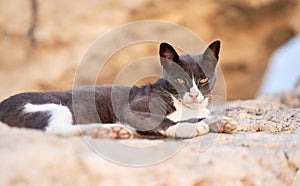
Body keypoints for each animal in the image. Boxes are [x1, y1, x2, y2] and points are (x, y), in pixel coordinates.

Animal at [0, 41, 234, 140]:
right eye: (179, 80)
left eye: (203, 79)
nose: (194, 94)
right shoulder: (132, 109)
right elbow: (160, 120)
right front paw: (187, 127)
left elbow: (203, 116)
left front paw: (219, 122)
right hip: (49, 107)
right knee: (53, 130)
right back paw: (107, 129)